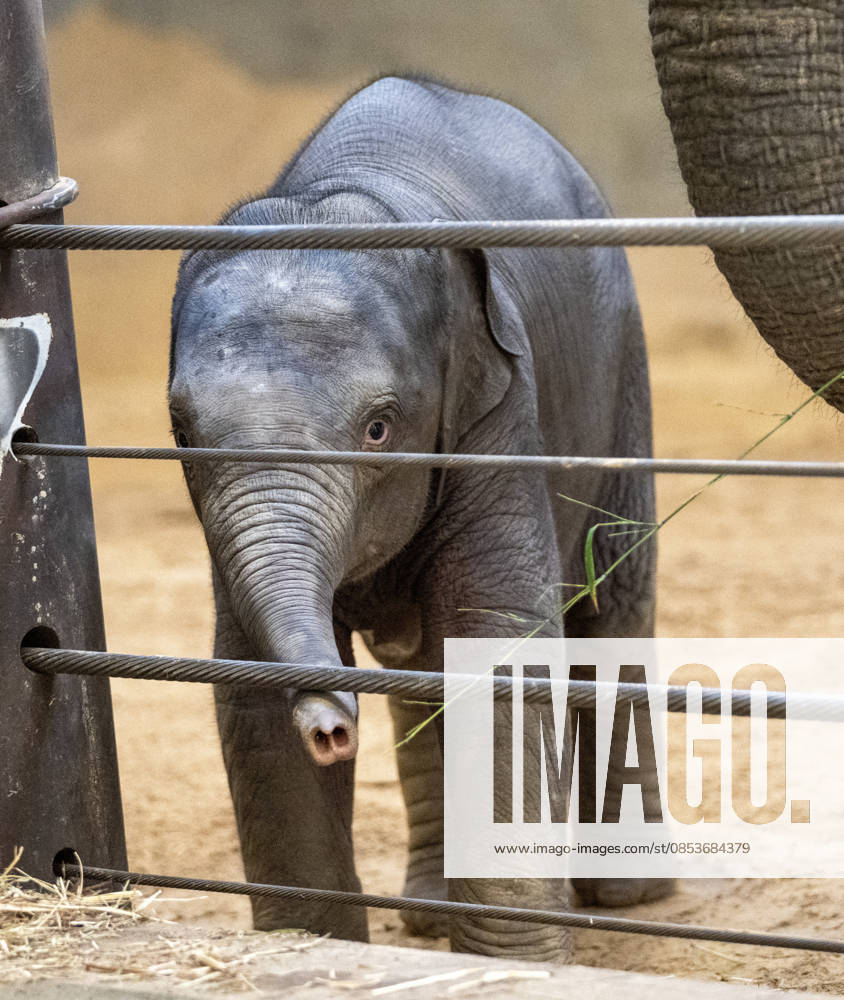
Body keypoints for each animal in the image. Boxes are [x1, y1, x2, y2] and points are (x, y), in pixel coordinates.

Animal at [168, 75, 663, 961]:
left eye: (379, 427)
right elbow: (247, 681)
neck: (341, 199)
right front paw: (314, 948)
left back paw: (624, 895)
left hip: (622, 376)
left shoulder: (500, 413)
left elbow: (499, 646)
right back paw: (431, 910)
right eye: (182, 433)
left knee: (613, 604)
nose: (332, 728)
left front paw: (520, 965)